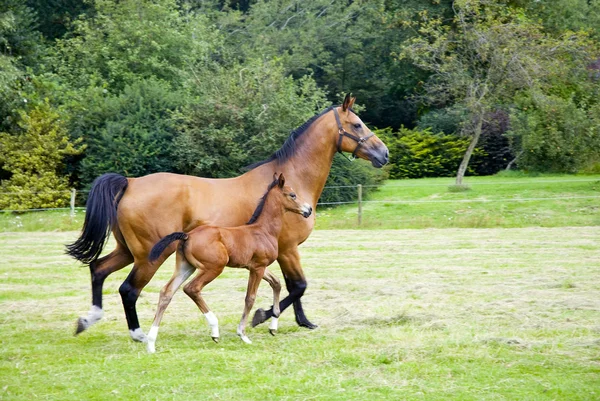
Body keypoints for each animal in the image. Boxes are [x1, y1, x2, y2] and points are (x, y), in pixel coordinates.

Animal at [145, 173, 310, 352]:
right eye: (292, 195)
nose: (308, 210)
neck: (263, 230)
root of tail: (187, 236)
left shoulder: (255, 266)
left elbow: (277, 283)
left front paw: (273, 326)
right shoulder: (258, 267)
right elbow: (250, 298)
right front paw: (243, 334)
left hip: (185, 267)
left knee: (167, 292)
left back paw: (151, 343)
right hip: (214, 267)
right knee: (192, 288)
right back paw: (214, 330)